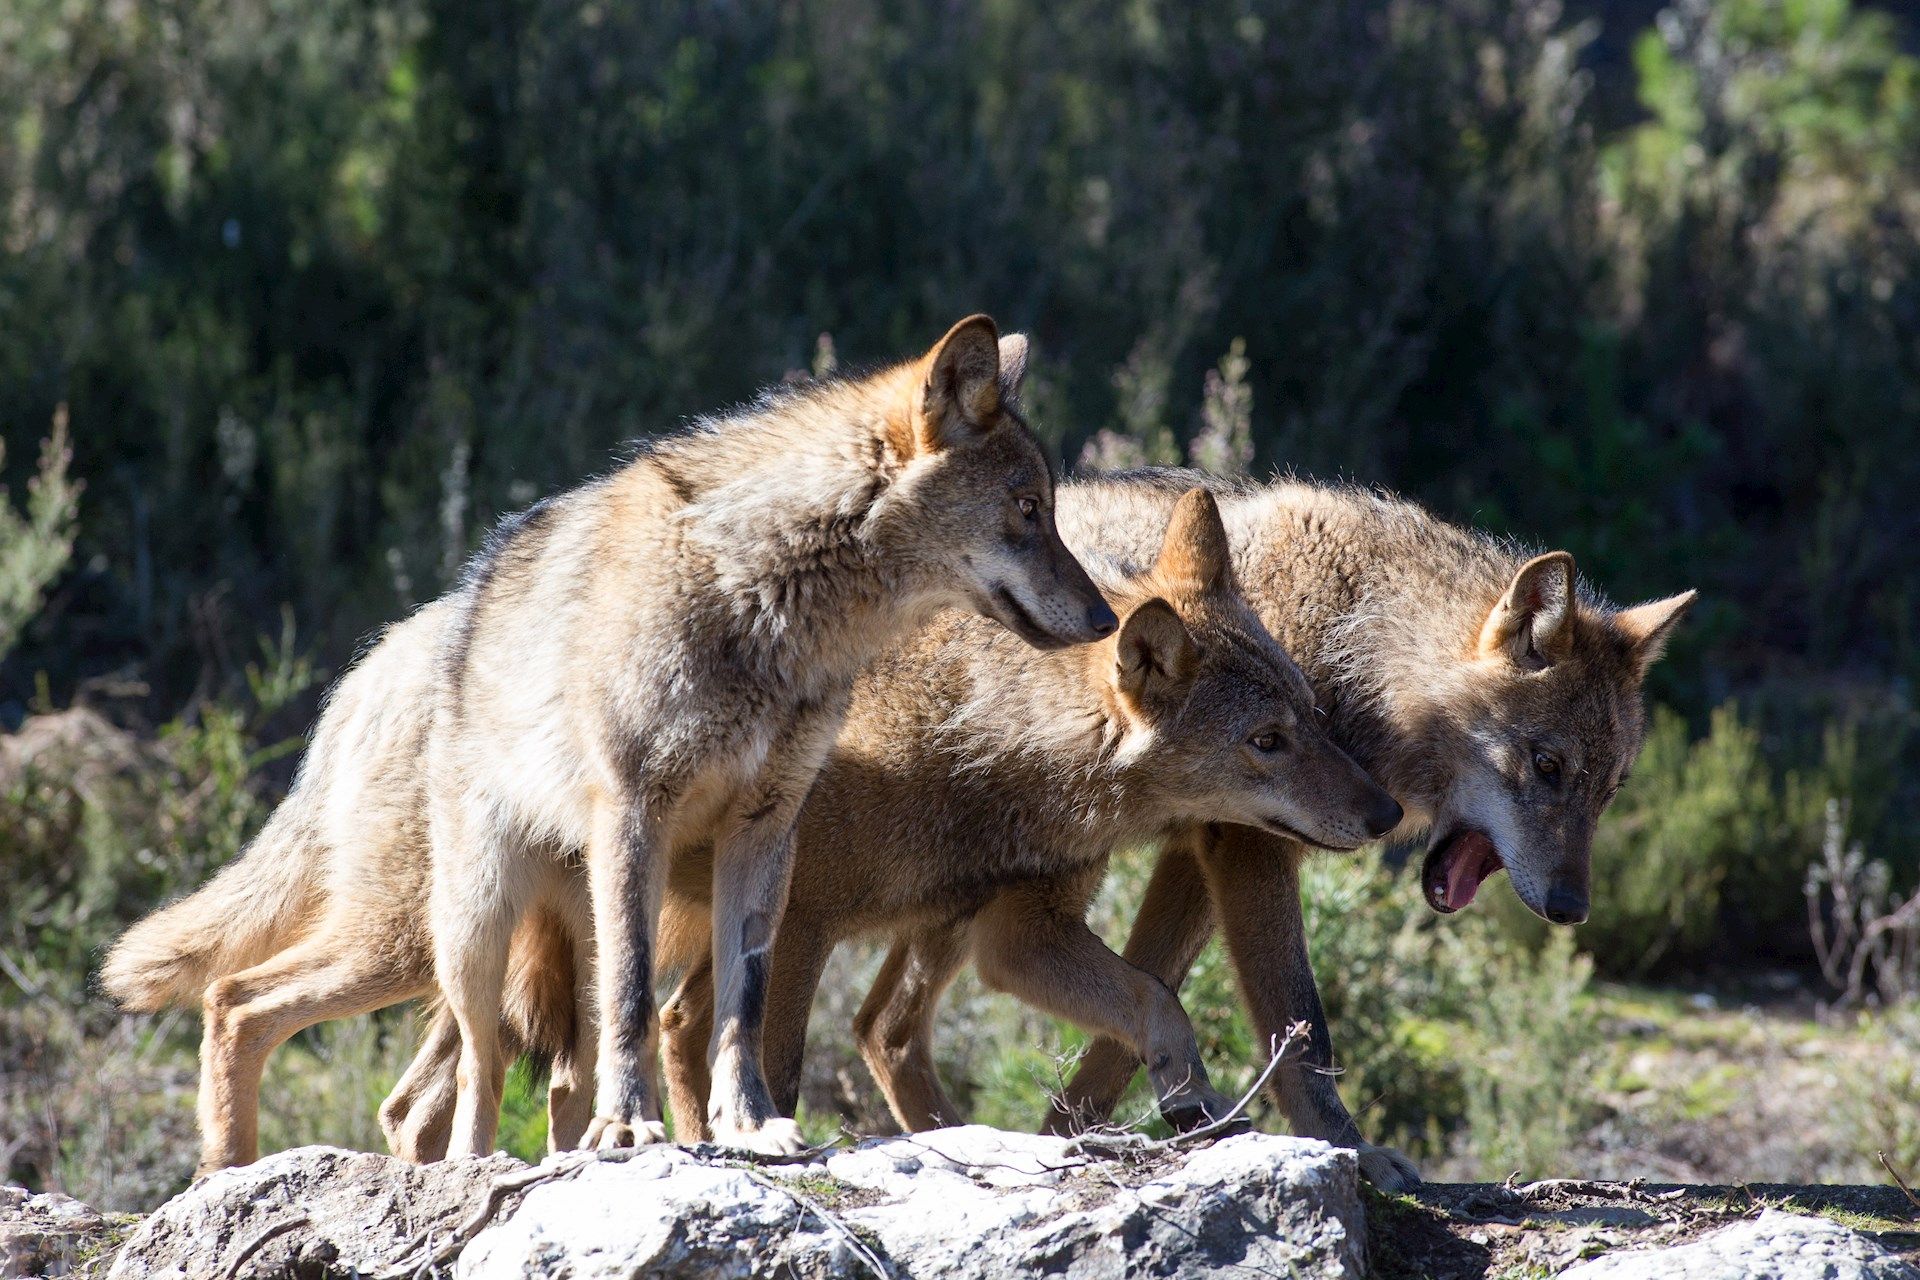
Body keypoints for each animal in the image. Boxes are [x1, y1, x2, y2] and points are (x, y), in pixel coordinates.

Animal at [105, 318, 1121, 1174]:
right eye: (1027, 508)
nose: (1109, 619)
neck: (763, 600)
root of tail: (373, 665)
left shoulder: (767, 833)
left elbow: (742, 1006)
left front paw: (749, 1125)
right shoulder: (638, 813)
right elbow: (639, 999)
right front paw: (632, 1130)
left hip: (533, 935)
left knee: (486, 1081)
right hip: (451, 934)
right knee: (286, 1019)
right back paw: (262, 1173)